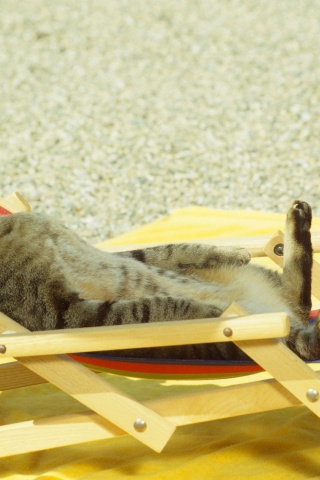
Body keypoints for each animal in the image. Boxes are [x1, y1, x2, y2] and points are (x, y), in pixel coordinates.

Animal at [0, 199, 318, 360]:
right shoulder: (65, 315)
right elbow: (157, 307)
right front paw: (215, 314)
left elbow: (166, 250)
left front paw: (234, 252)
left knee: (299, 297)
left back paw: (298, 218)